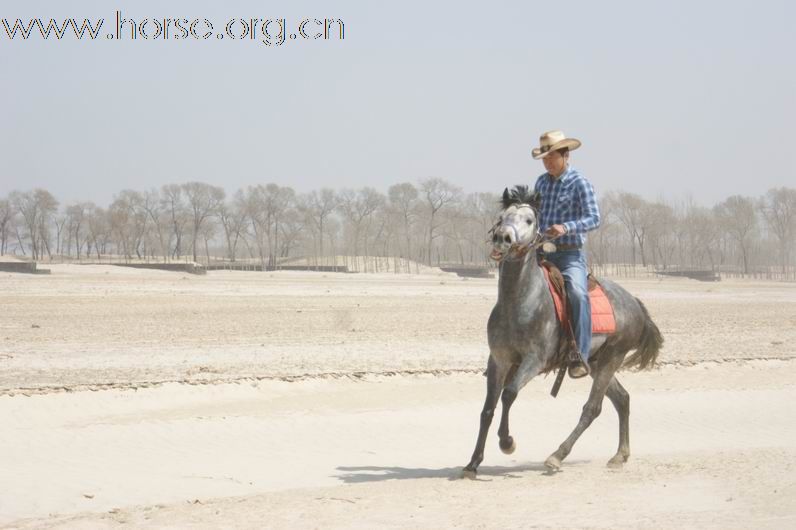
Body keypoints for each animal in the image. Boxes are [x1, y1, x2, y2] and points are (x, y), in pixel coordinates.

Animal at [464, 186, 664, 474]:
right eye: (502, 217)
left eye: (529, 220)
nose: (503, 237)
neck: (519, 302)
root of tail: (635, 303)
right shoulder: (498, 360)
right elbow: (487, 409)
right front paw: (473, 462)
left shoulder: (534, 360)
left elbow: (509, 394)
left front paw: (507, 442)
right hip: (596, 362)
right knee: (622, 399)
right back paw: (619, 455)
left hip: (612, 357)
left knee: (593, 408)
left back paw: (557, 456)